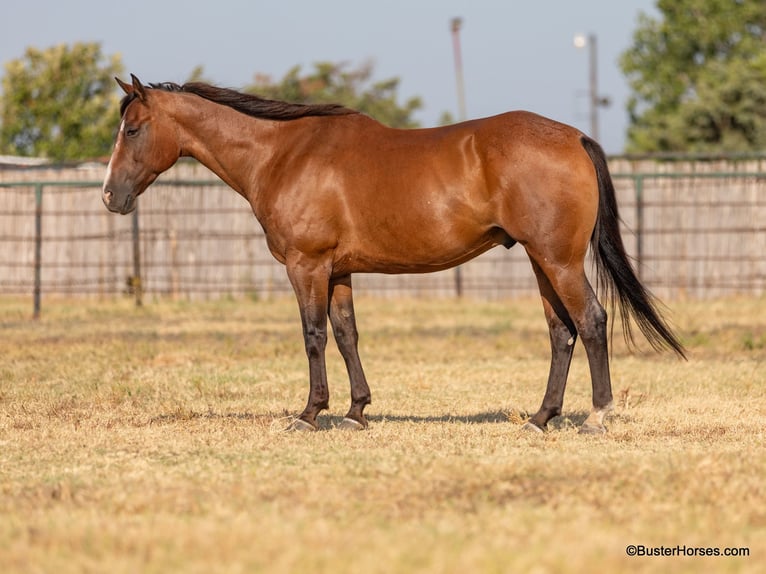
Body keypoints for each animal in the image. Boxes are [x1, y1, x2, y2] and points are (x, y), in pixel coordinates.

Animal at [102, 74, 685, 434]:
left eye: (133, 129)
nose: (110, 196)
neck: (284, 154)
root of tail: (573, 137)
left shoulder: (307, 266)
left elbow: (313, 336)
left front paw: (310, 413)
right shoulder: (337, 271)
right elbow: (346, 335)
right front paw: (357, 411)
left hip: (558, 260)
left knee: (591, 321)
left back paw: (596, 416)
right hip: (541, 261)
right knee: (561, 332)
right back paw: (542, 418)